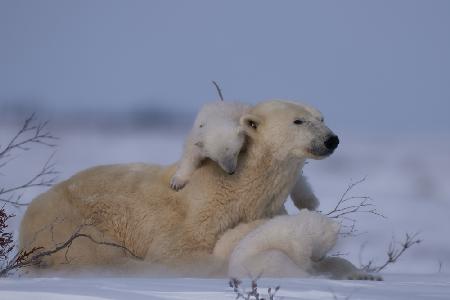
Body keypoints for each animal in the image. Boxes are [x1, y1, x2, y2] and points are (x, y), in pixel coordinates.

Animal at [19, 100, 350, 276]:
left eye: (321, 117)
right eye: (298, 120)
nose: (331, 139)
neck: (240, 186)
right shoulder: (197, 216)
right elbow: (177, 252)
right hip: (67, 223)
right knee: (95, 254)